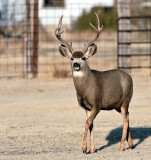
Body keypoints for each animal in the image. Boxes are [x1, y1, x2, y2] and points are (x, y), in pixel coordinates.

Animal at [54, 13, 133, 154]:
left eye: (83, 57)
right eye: (72, 58)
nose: (76, 64)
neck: (85, 90)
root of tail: (130, 77)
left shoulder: (97, 104)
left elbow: (87, 123)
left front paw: (84, 148)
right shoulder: (87, 107)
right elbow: (91, 125)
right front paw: (92, 149)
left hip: (125, 100)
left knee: (125, 120)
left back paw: (120, 147)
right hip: (118, 105)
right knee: (128, 116)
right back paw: (130, 143)